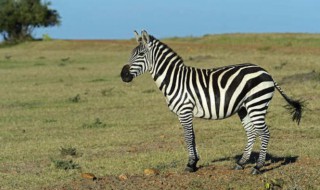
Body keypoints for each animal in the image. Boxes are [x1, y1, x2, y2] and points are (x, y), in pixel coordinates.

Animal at [120, 30, 302, 174]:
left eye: (141, 55)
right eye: (130, 54)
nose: (123, 75)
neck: (175, 79)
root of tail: (266, 72)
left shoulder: (184, 110)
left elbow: (187, 137)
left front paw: (190, 165)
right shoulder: (185, 112)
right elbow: (192, 136)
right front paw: (194, 163)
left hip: (256, 104)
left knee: (264, 133)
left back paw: (257, 167)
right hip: (244, 108)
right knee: (251, 133)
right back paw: (241, 163)